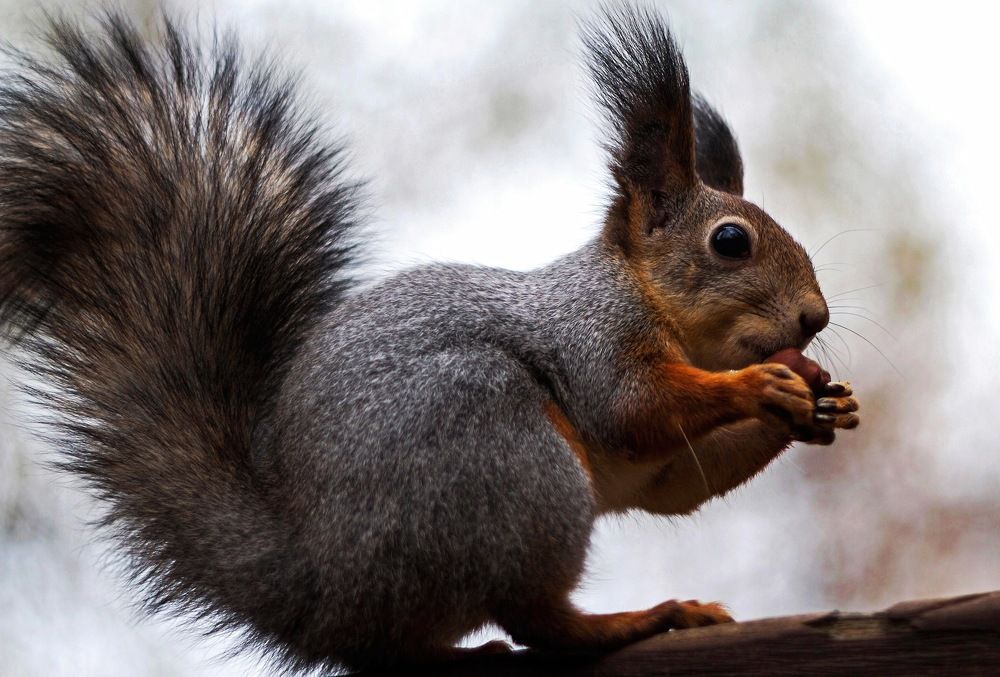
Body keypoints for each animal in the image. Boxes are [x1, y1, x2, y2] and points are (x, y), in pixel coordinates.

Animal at [0, 6, 860, 673]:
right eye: (730, 241)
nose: (814, 319)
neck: (648, 298)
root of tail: (316, 585)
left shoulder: (656, 463)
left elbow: (679, 480)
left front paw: (820, 403)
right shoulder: (592, 335)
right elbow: (634, 406)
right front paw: (761, 386)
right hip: (500, 452)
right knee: (537, 619)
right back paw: (639, 619)